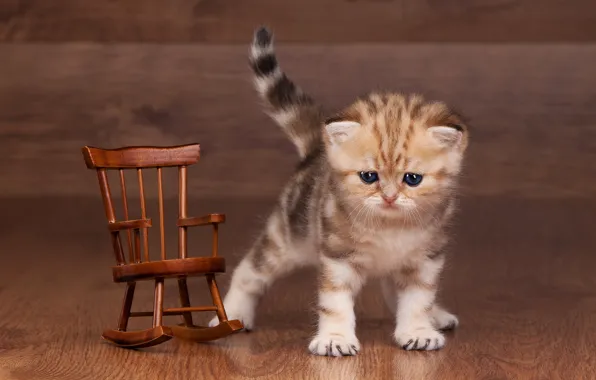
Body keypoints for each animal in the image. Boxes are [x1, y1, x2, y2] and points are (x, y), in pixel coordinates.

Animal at [210, 26, 470, 356]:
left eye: (412, 179)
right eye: (369, 176)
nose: (389, 197)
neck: (390, 228)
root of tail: (317, 150)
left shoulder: (425, 259)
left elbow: (417, 299)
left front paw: (418, 330)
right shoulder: (337, 255)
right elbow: (335, 302)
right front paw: (335, 338)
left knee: (391, 288)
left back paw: (435, 315)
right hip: (289, 237)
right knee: (249, 270)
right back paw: (233, 313)